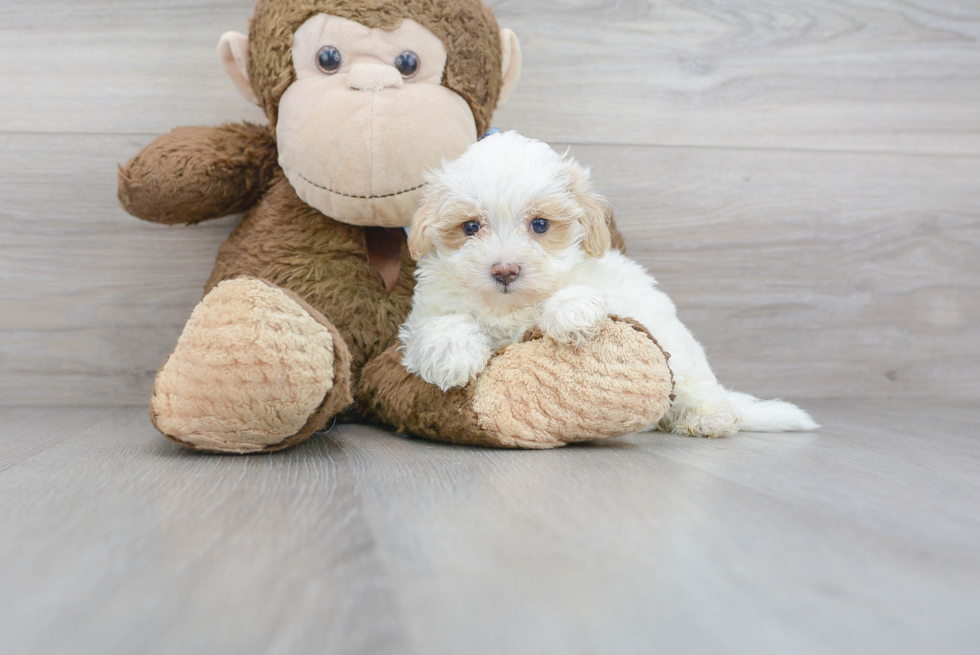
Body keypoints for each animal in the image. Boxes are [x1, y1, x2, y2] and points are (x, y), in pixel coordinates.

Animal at [398, 133, 820, 438]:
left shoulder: (619, 294)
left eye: (540, 225)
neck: (509, 308)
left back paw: (708, 418)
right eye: (470, 226)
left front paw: (571, 311)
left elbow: (588, 299)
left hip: (682, 359)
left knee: (699, 391)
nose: (505, 270)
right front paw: (451, 353)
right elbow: (442, 322)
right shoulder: (425, 312)